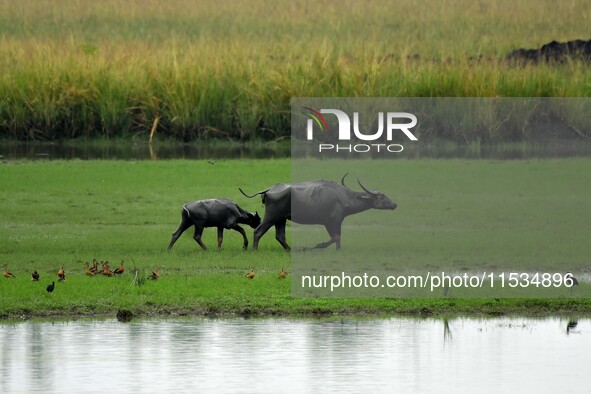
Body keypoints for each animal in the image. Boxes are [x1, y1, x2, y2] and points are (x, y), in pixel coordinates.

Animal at [240, 175, 398, 251]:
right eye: (381, 196)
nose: (394, 204)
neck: (344, 196)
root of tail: (268, 190)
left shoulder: (329, 222)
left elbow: (336, 237)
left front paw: (339, 250)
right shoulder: (335, 220)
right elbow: (336, 237)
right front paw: (318, 245)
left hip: (281, 219)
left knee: (280, 236)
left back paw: (290, 249)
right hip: (272, 216)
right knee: (258, 231)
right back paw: (254, 250)